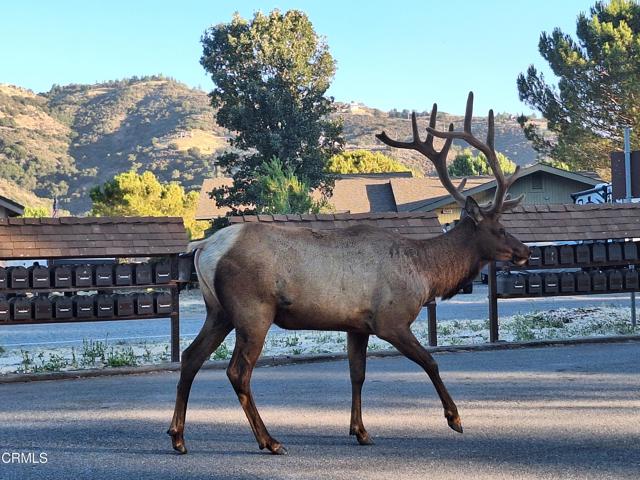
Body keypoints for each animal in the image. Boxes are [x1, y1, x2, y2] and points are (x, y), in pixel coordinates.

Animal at [166, 93, 528, 454]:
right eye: (499, 229)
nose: (524, 251)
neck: (425, 274)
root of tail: (204, 248)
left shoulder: (357, 326)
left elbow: (358, 374)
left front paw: (360, 430)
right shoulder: (391, 320)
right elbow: (430, 361)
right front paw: (455, 418)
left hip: (219, 311)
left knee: (191, 356)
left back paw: (178, 436)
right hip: (253, 310)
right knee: (237, 371)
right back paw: (269, 440)